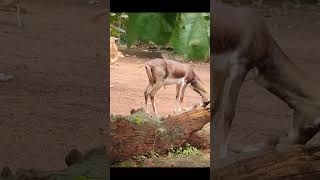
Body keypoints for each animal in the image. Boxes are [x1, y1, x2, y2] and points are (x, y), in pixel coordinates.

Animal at [212, 1, 320, 159]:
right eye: (315, 125)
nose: (297, 143)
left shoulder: (218, 71)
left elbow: (214, 108)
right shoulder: (239, 68)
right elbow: (228, 112)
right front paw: (223, 157)